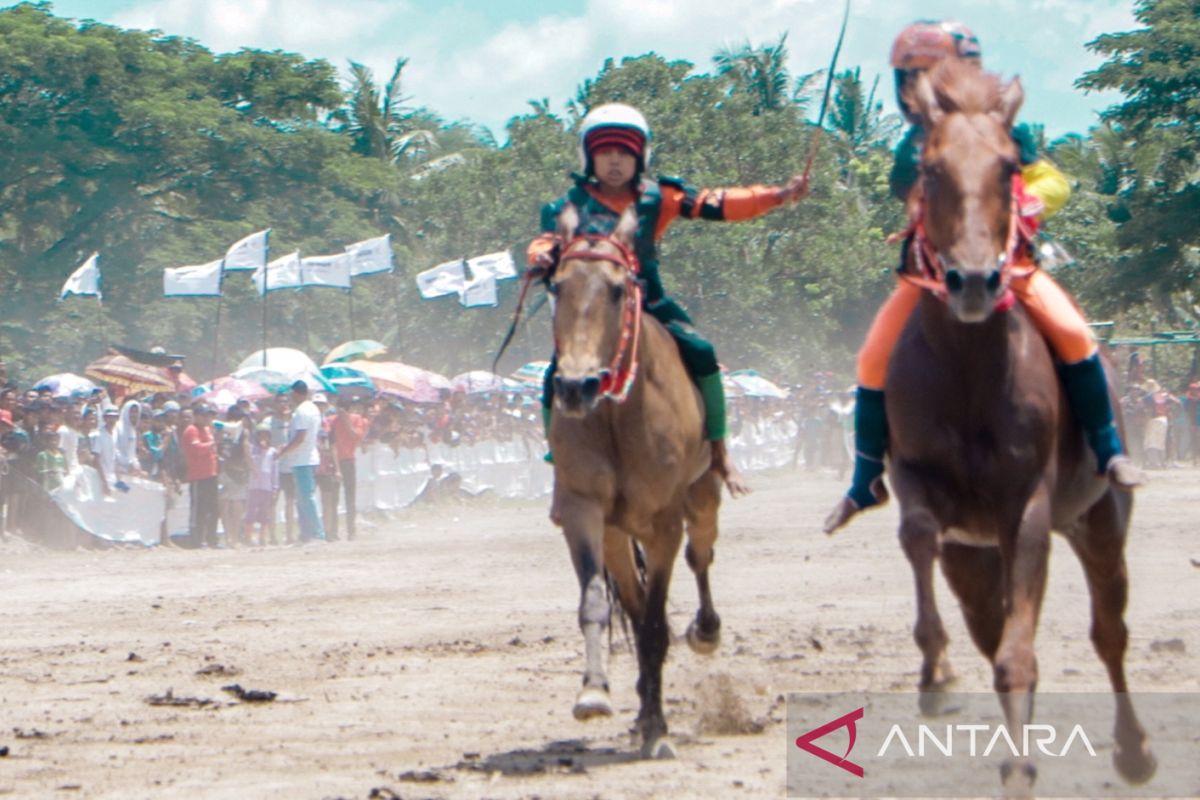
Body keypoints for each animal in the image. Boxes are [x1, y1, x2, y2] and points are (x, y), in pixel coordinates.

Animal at [542, 203, 720, 762]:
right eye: (557, 286)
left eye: (618, 289)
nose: (576, 386)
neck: (619, 414)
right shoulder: (583, 510)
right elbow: (599, 604)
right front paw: (594, 692)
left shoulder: (665, 523)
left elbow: (657, 624)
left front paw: (659, 731)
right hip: (619, 535)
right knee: (634, 604)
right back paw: (642, 709)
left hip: (702, 498)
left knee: (701, 554)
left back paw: (706, 632)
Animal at [888, 57, 1156, 796]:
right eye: (930, 168)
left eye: (1009, 165)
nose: (974, 280)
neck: (968, 366)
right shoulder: (916, 480)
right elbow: (917, 534)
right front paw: (936, 674)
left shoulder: (1026, 508)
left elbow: (1021, 657)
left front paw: (1019, 768)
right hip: (974, 559)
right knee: (990, 623)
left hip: (1098, 524)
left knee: (1109, 632)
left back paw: (1133, 752)